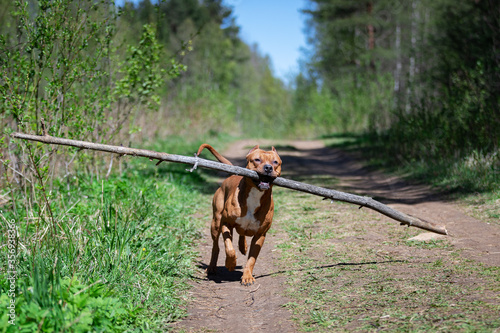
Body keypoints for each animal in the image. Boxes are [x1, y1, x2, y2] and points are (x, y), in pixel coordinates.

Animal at [195, 143, 282, 286]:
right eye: (257, 159)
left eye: (275, 162)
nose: (268, 168)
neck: (255, 194)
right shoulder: (226, 224)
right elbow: (229, 247)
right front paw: (230, 263)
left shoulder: (260, 234)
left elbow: (252, 259)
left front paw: (247, 276)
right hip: (216, 223)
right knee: (216, 247)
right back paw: (212, 267)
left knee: (242, 233)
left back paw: (243, 246)